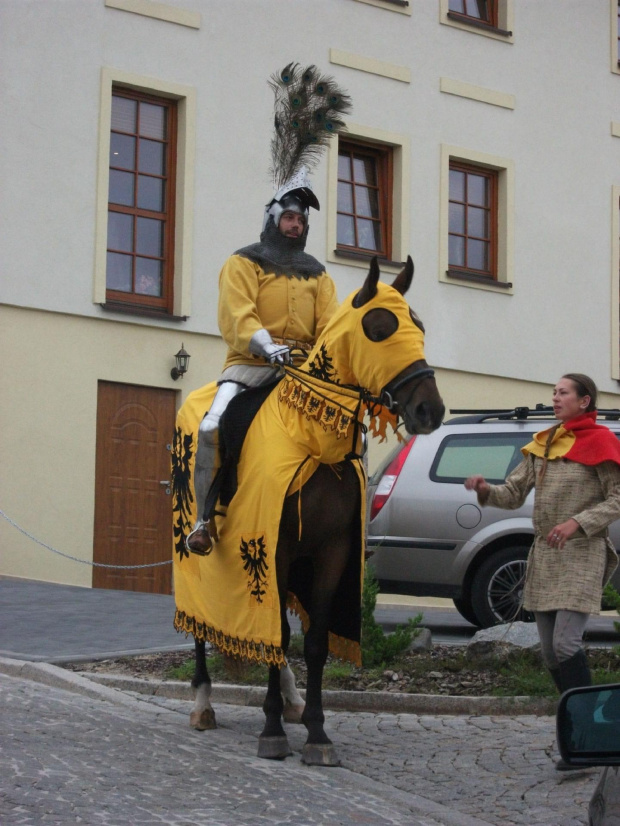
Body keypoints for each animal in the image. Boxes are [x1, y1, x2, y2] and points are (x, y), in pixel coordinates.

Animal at [173, 254, 446, 764]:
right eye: (380, 327)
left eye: (418, 326)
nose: (430, 411)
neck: (310, 439)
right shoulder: (272, 548)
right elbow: (277, 635)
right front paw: (271, 730)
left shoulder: (330, 552)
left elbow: (312, 641)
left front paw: (316, 732)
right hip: (189, 549)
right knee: (200, 624)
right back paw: (203, 704)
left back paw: (293, 700)